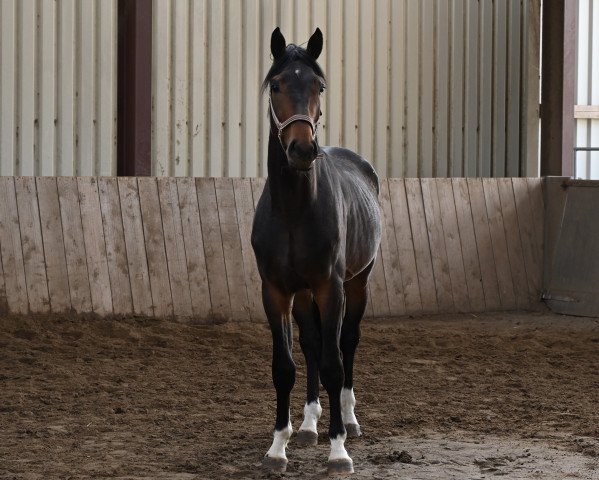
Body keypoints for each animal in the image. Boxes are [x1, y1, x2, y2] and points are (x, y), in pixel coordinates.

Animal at [251, 28, 382, 474]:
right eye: (276, 85)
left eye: (318, 86)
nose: (302, 150)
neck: (293, 210)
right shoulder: (275, 291)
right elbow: (284, 366)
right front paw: (278, 446)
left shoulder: (331, 287)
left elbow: (333, 362)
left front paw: (338, 450)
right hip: (305, 293)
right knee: (311, 344)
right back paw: (308, 424)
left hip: (357, 284)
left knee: (346, 343)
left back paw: (350, 418)